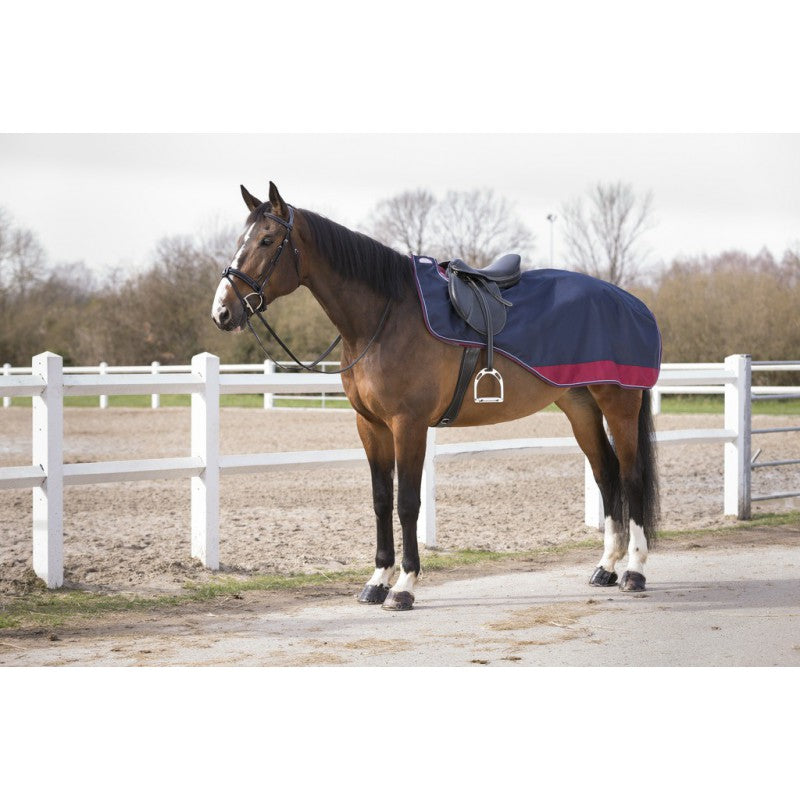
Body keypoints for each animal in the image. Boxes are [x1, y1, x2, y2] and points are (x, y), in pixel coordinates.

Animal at [211, 181, 660, 611]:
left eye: (267, 240)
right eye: (240, 238)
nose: (222, 312)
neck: (385, 317)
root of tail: (631, 302)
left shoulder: (408, 425)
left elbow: (407, 502)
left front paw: (404, 586)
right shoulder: (370, 425)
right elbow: (380, 499)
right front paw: (377, 580)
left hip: (619, 404)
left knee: (632, 475)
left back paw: (634, 571)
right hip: (579, 406)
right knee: (606, 474)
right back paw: (606, 567)